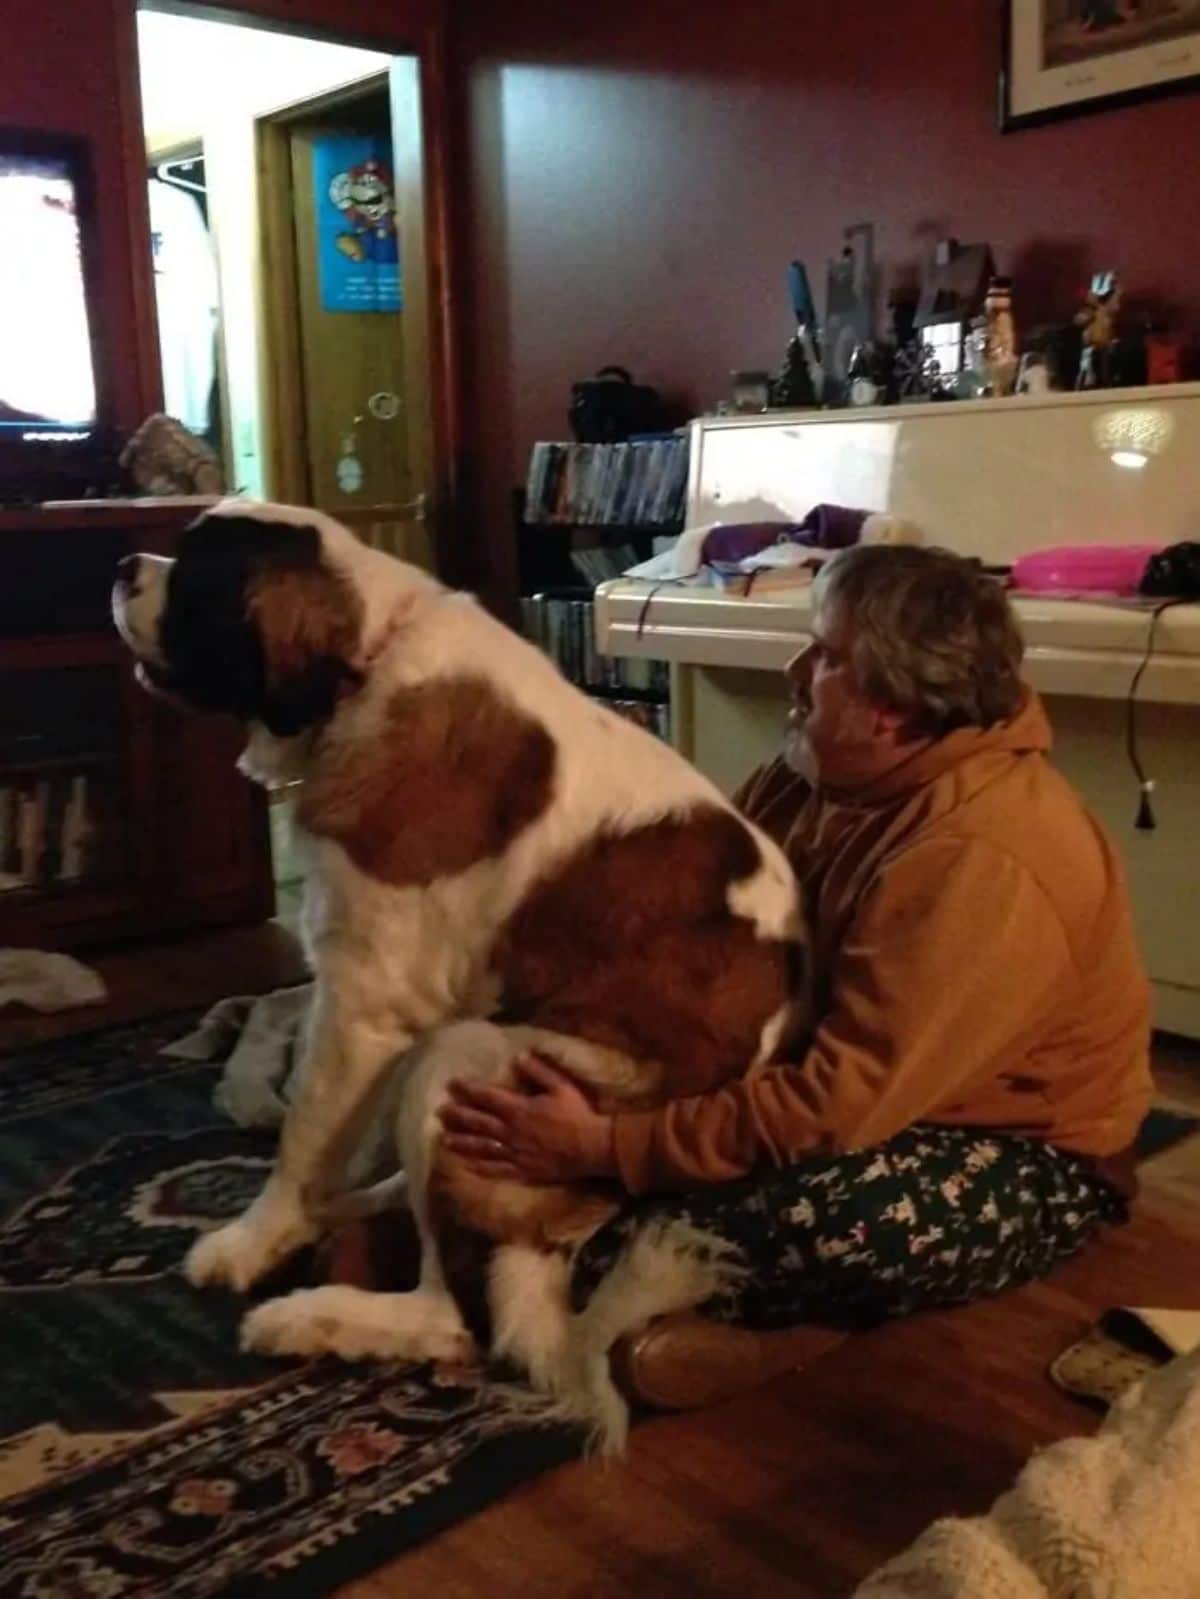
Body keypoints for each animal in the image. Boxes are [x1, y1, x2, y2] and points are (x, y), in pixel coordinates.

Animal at [112, 498, 809, 1451]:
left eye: (194, 573)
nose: (120, 566)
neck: (367, 668)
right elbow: (333, 1135)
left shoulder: (362, 1002)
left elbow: (300, 1143)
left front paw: (248, 1243)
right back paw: (355, 1213)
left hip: (468, 1061)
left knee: (459, 1318)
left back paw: (309, 1313)